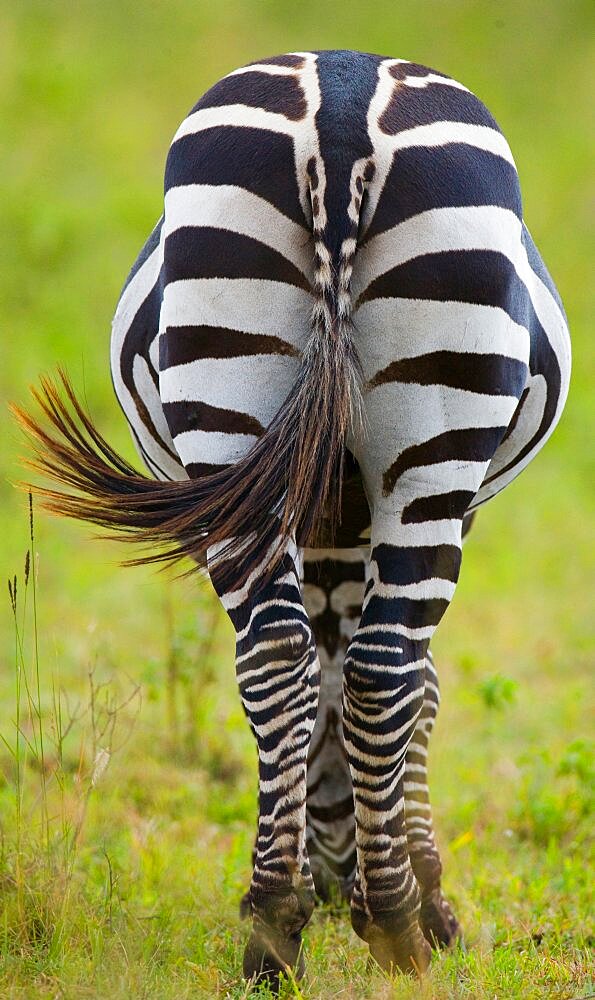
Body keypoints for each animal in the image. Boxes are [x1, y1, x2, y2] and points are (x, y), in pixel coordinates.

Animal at [16, 48, 572, 984]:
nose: (337, 882)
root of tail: (341, 105)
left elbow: (325, 673)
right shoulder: (421, 516)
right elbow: (415, 686)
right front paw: (425, 899)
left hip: (230, 411)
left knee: (278, 656)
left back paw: (274, 929)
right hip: (429, 457)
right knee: (384, 665)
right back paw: (394, 922)